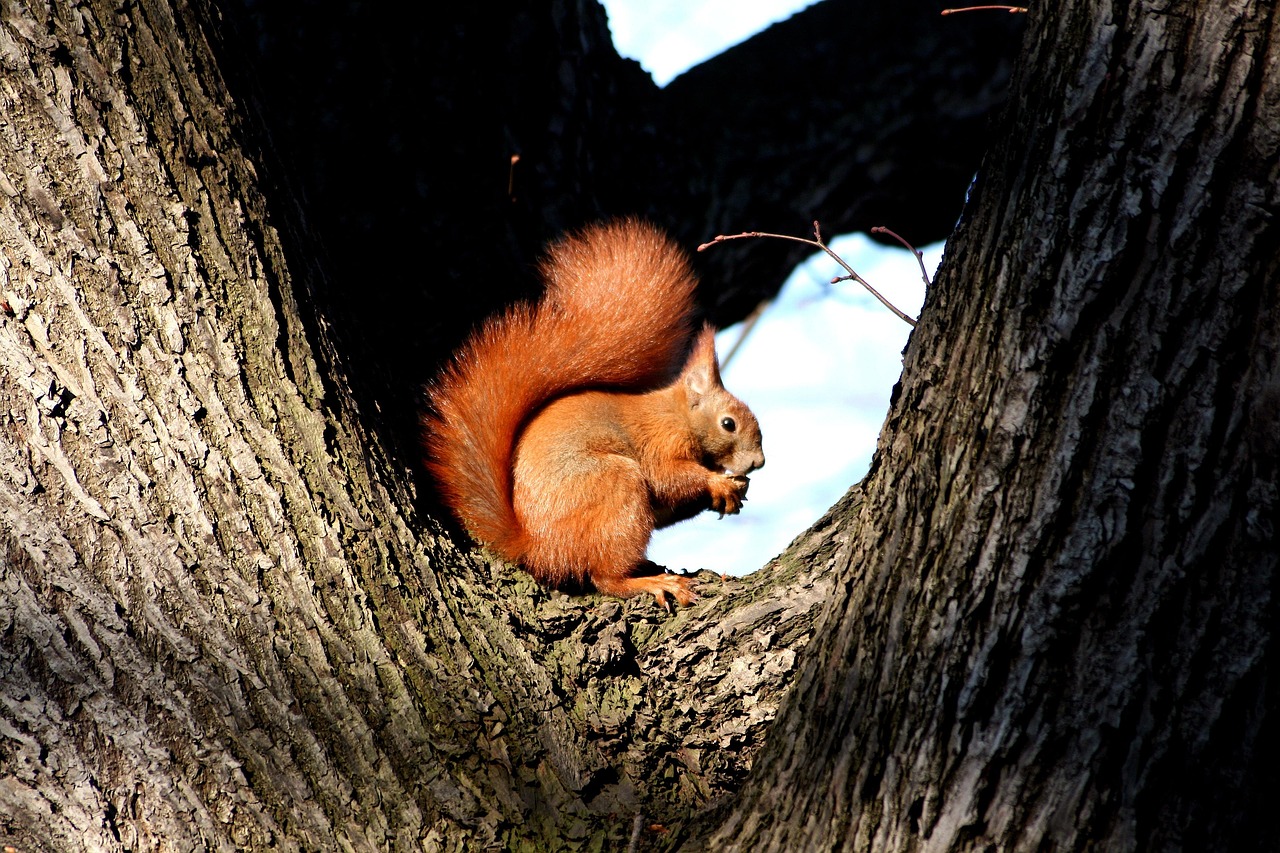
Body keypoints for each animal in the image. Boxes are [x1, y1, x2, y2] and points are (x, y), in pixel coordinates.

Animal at [422, 219, 765, 607]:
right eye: (728, 424)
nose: (758, 463)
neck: (677, 413)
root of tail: (539, 547)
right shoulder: (662, 440)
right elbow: (667, 477)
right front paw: (719, 481)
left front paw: (732, 491)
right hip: (615, 489)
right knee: (604, 577)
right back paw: (651, 582)